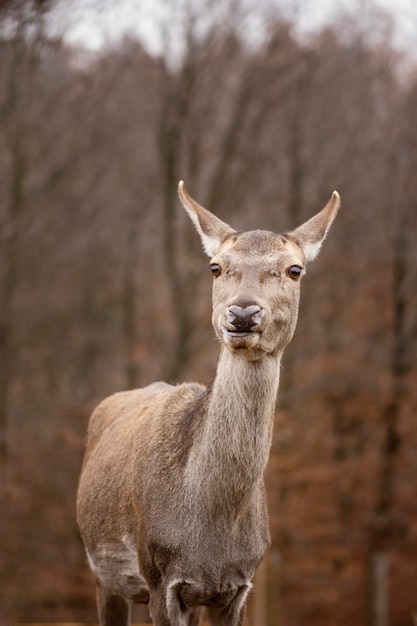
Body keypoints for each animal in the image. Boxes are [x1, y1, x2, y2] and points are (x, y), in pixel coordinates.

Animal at [77, 178, 338, 620]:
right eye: (215, 266)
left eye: (295, 269)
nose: (243, 313)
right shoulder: (160, 579)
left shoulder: (238, 586)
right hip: (103, 575)